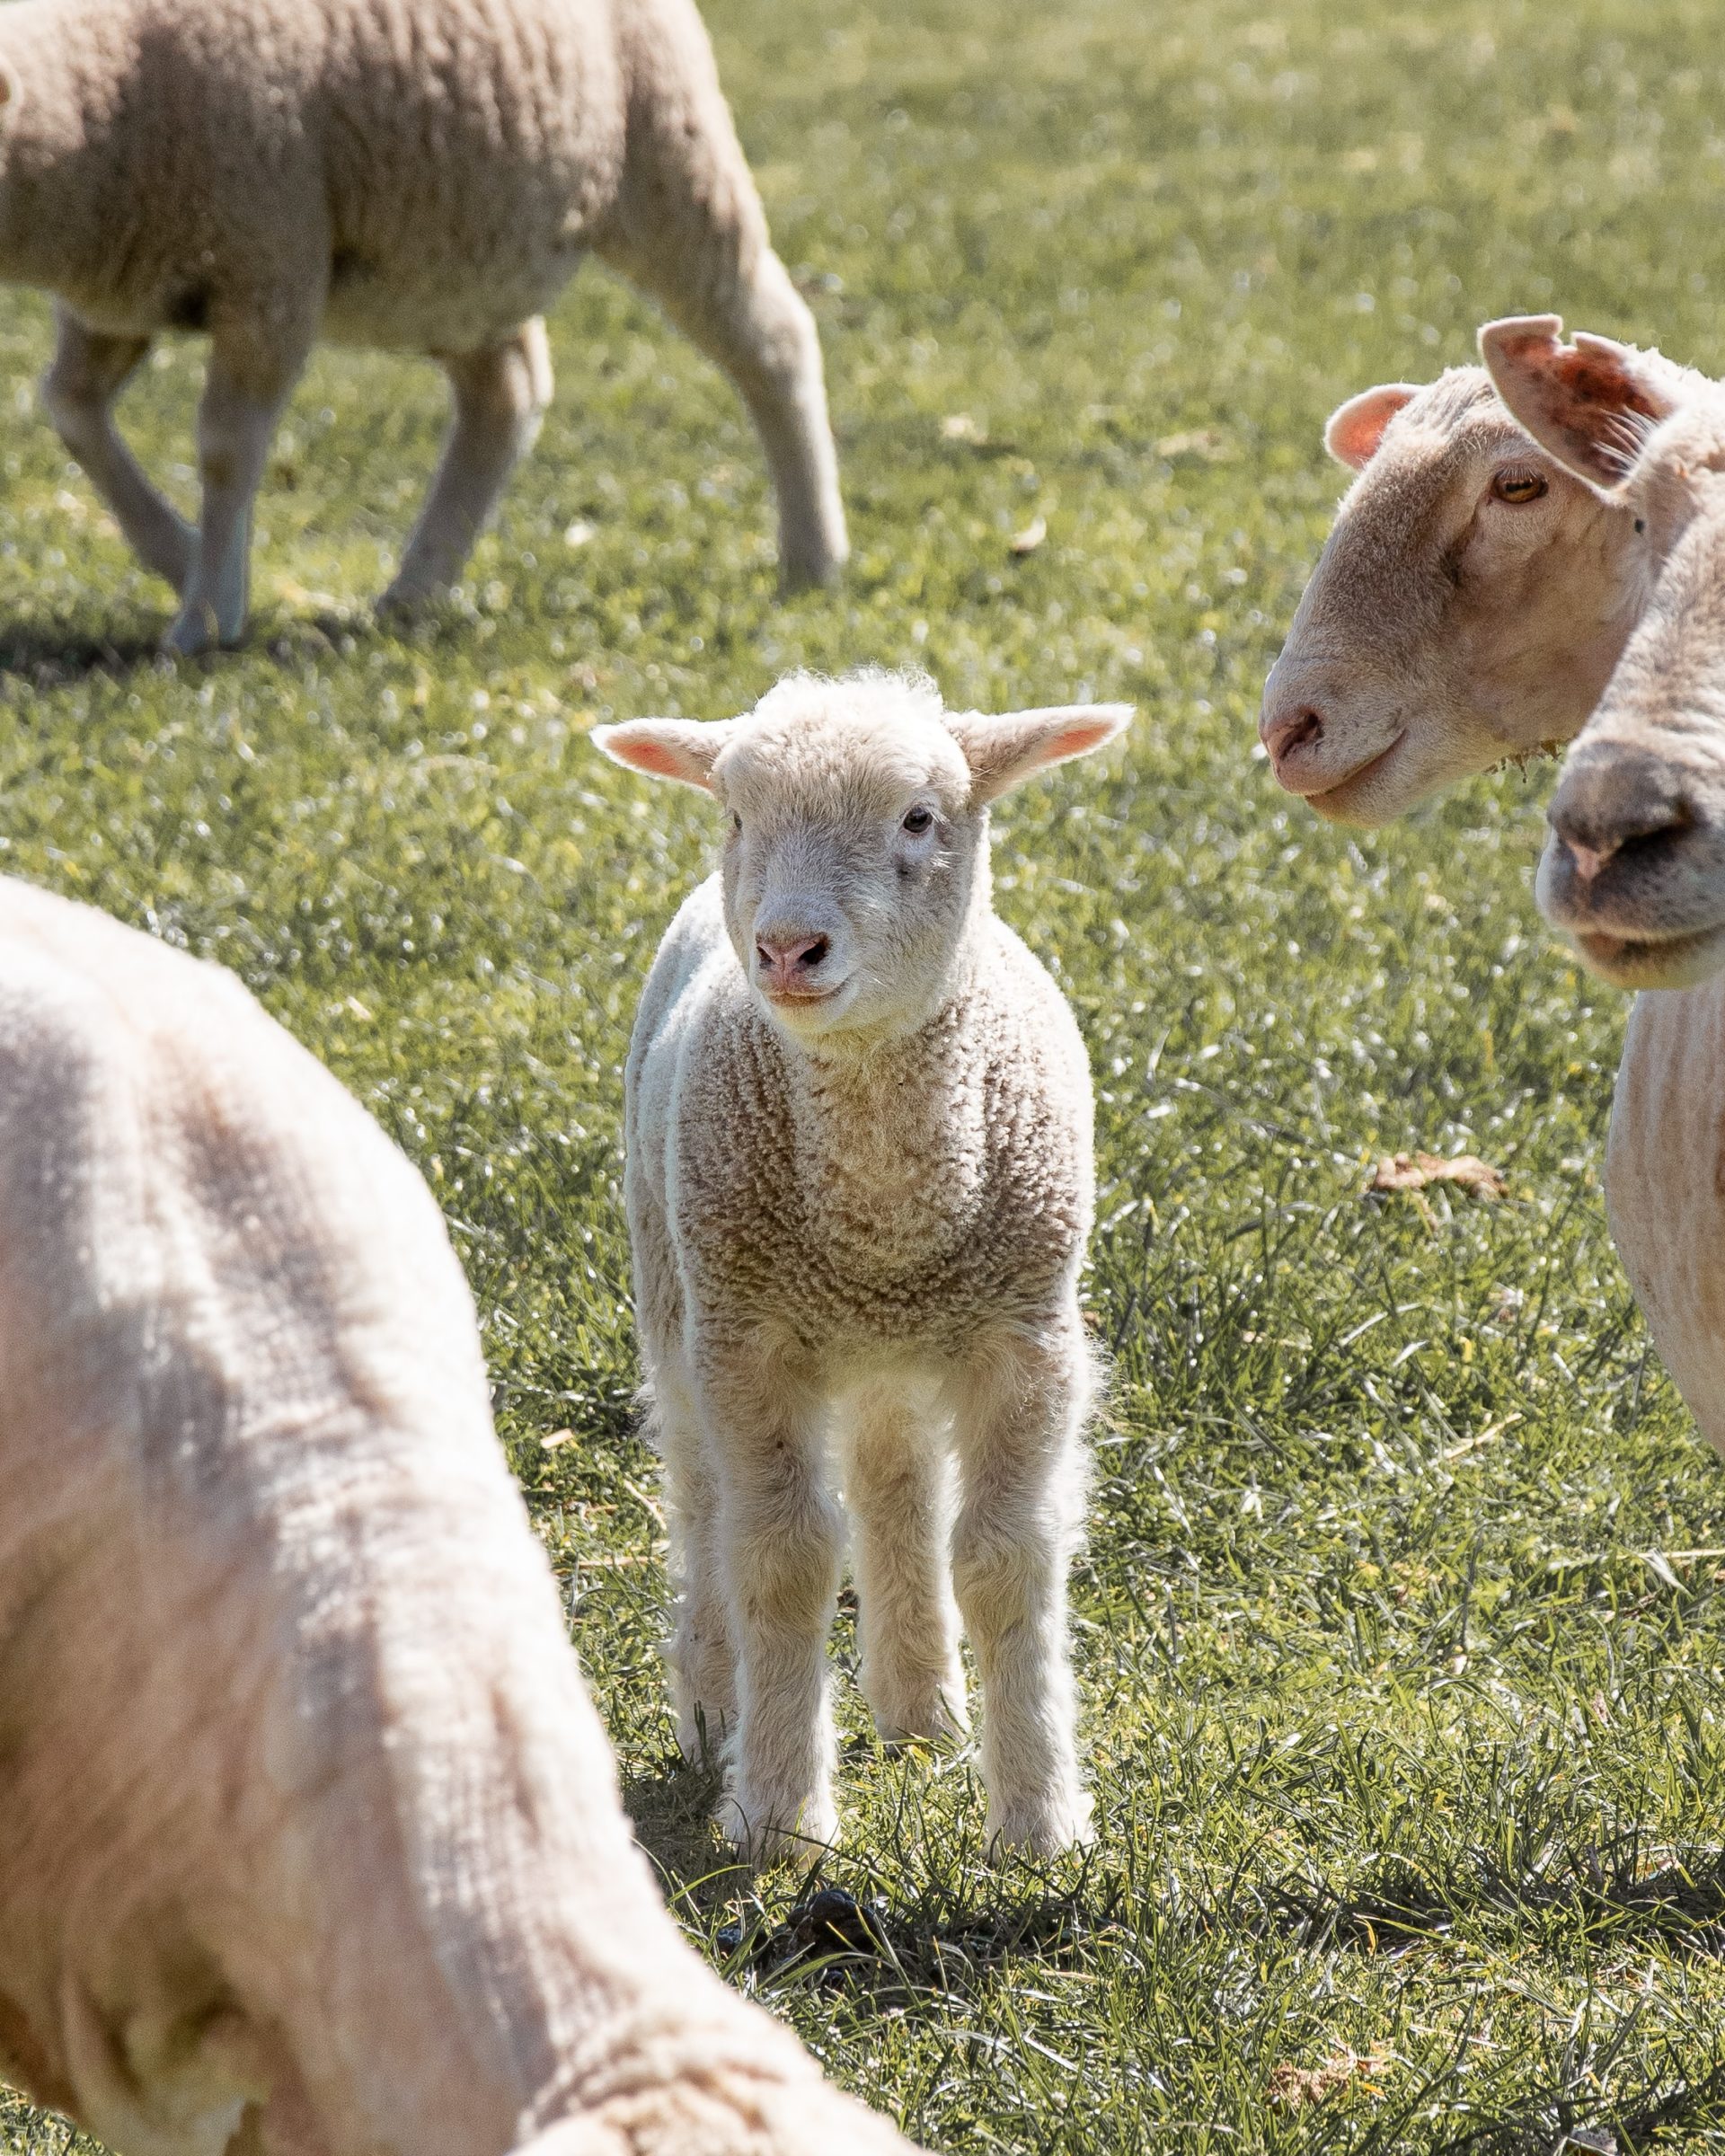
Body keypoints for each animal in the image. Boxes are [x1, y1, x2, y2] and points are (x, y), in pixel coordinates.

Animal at [4, 0, 848, 655]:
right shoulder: (115, 299)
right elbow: (70, 408)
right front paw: (183, 557)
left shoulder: (269, 269)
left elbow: (223, 450)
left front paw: (208, 613)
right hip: (465, 255)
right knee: (507, 394)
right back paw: (416, 588)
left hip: (669, 152)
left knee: (772, 337)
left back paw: (813, 558)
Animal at [594, 670, 1131, 1863]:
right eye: (736, 815)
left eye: (920, 820)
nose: (790, 949)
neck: (880, 1223)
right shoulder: (748, 1338)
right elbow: (783, 1559)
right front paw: (778, 1815)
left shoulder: (1025, 1335)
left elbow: (1004, 1558)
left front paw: (1037, 1820)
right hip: (675, 1289)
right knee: (703, 1499)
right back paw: (715, 1707)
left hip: (892, 1353)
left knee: (896, 1483)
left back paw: (922, 1710)